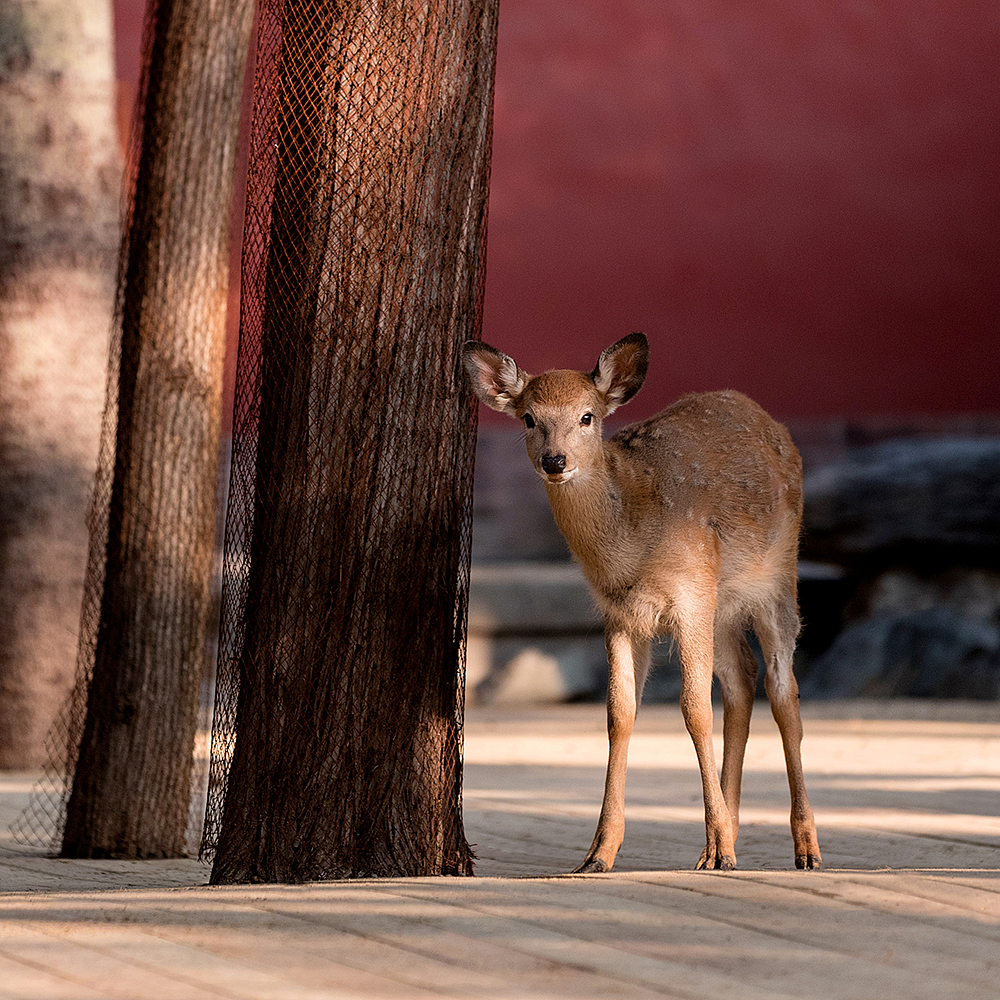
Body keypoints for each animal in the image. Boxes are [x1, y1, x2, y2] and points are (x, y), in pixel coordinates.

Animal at [462, 332, 820, 872]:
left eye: (588, 416)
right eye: (528, 418)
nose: (555, 461)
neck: (633, 549)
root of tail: (764, 417)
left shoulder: (691, 592)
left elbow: (694, 708)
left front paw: (720, 845)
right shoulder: (618, 613)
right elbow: (619, 712)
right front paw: (598, 853)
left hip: (776, 576)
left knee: (783, 688)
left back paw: (803, 847)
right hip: (722, 605)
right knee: (742, 679)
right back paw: (719, 844)